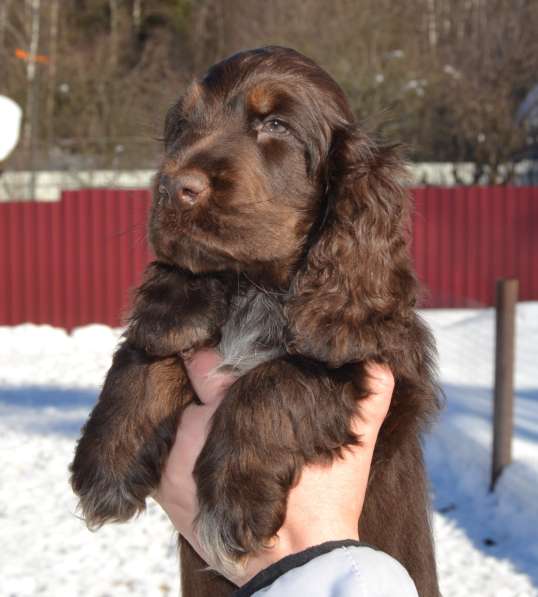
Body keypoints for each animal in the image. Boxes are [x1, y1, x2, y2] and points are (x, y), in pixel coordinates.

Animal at [70, 47, 440, 596]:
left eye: (275, 125)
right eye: (182, 124)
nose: (171, 187)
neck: (256, 287)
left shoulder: (375, 361)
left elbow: (275, 378)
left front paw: (232, 502)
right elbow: (150, 350)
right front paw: (104, 462)